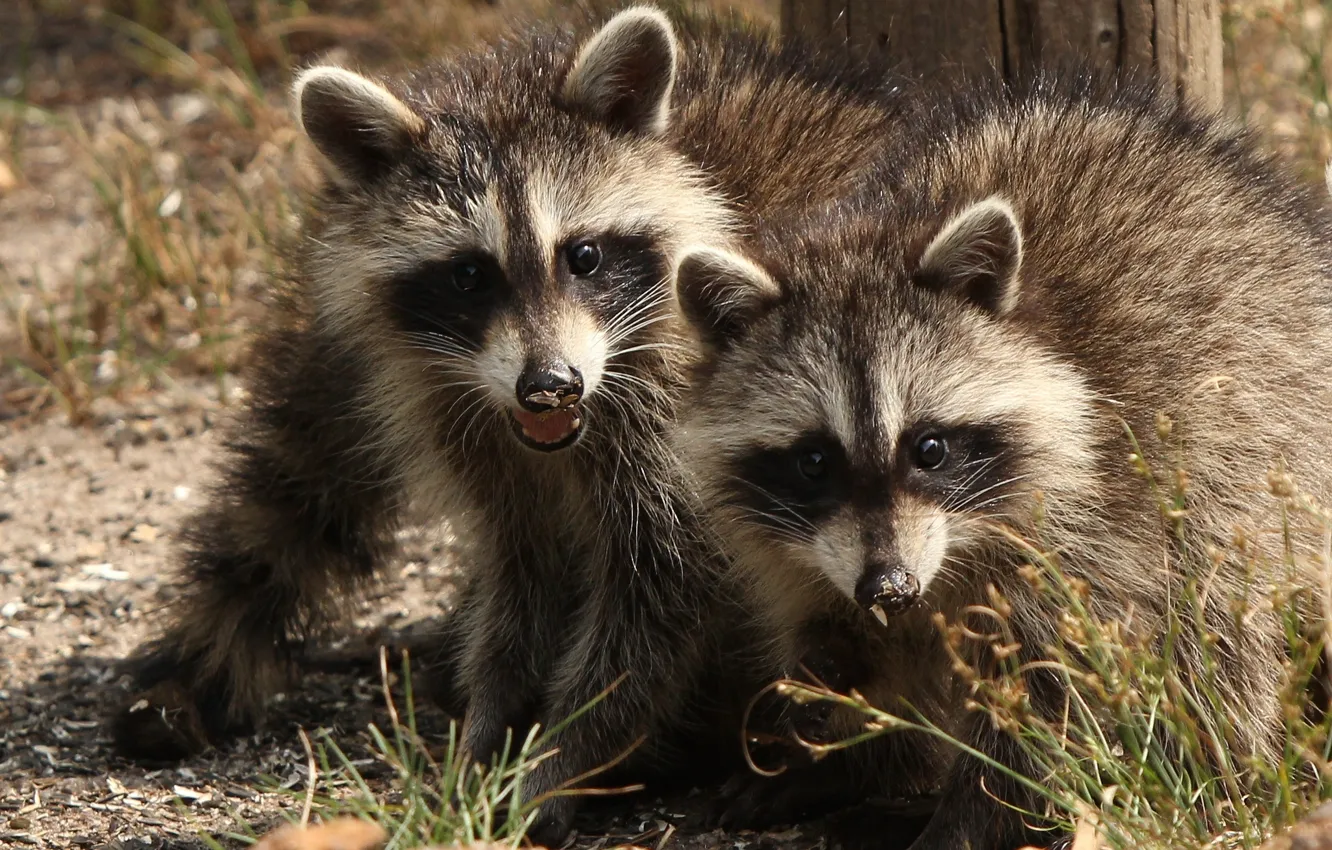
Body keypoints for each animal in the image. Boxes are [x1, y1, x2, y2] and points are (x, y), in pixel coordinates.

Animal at [110, 3, 904, 842]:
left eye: (583, 256)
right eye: (468, 275)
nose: (549, 386)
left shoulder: (682, 422)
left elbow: (657, 600)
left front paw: (562, 756)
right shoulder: (465, 424)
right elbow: (522, 580)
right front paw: (492, 728)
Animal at [670, 71, 1332, 847]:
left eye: (929, 448)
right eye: (813, 461)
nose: (889, 585)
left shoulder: (1097, 524)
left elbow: (1055, 693)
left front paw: (971, 813)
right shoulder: (806, 553)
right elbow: (843, 637)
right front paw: (832, 743)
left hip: (1256, 455)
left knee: (1218, 624)